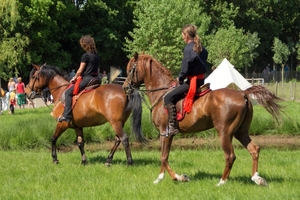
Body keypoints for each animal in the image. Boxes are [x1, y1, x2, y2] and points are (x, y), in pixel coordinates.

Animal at [122, 52, 282, 186]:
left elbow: (163, 157)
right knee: (254, 149)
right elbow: (164, 156)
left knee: (230, 156)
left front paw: (179, 177)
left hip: (225, 132)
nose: (125, 87)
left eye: (130, 70)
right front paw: (159, 178)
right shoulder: (166, 134)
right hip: (240, 132)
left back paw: (222, 182)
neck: (161, 93)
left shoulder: (165, 132)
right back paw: (257, 178)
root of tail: (242, 93)